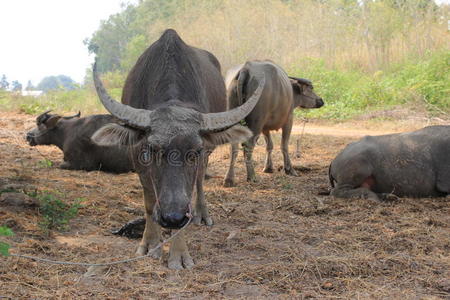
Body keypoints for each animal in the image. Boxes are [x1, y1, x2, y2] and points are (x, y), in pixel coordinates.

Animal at [91, 28, 266, 270]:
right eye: (153, 150)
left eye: (194, 152)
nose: (172, 217)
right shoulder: (137, 158)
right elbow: (148, 202)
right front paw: (150, 244)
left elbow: (188, 196)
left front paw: (179, 255)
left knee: (200, 181)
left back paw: (202, 214)